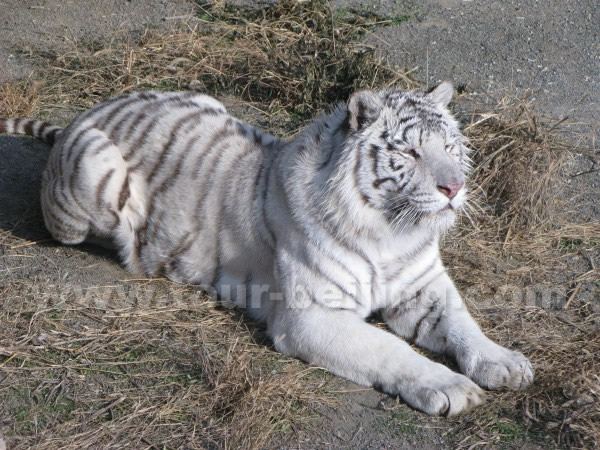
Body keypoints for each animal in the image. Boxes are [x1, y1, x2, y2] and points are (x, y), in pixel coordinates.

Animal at [0, 82, 536, 416]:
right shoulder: (311, 316)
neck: (393, 232)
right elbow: (391, 349)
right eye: (408, 151)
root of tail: (83, 115)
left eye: (451, 146)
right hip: (92, 178)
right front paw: (450, 387)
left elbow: (462, 321)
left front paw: (504, 363)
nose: (454, 187)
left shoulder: (423, 283)